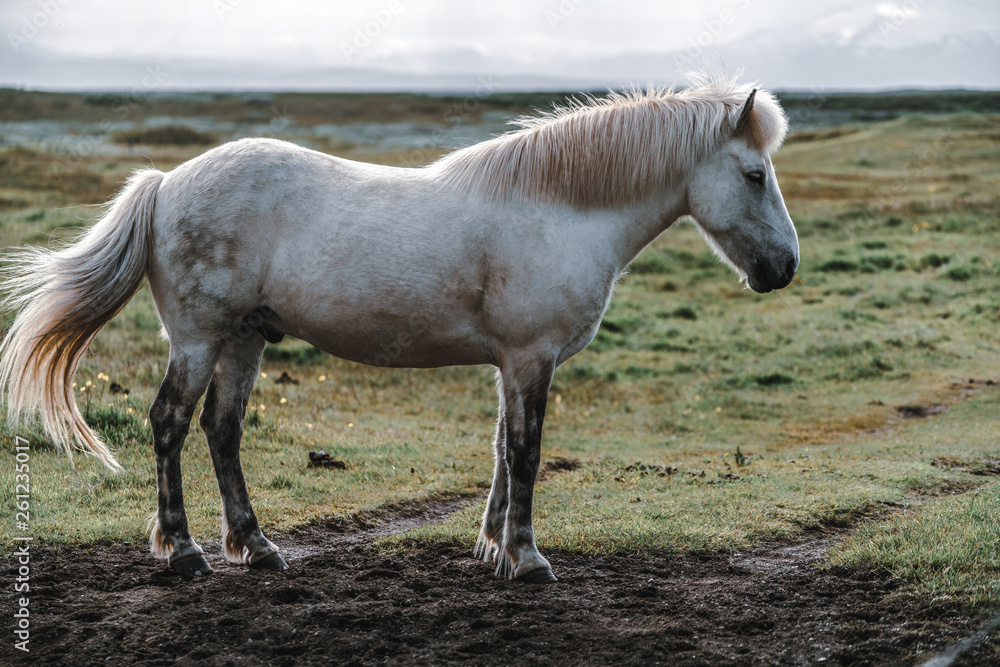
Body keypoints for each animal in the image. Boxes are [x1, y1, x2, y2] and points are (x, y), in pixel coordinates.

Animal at [0, 74, 796, 584]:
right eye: (754, 174)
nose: (784, 267)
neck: (558, 208)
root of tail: (166, 182)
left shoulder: (511, 363)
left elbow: (502, 450)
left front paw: (492, 548)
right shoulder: (531, 358)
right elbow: (527, 452)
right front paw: (529, 559)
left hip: (244, 339)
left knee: (221, 431)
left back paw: (256, 548)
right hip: (199, 339)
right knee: (169, 422)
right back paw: (184, 550)